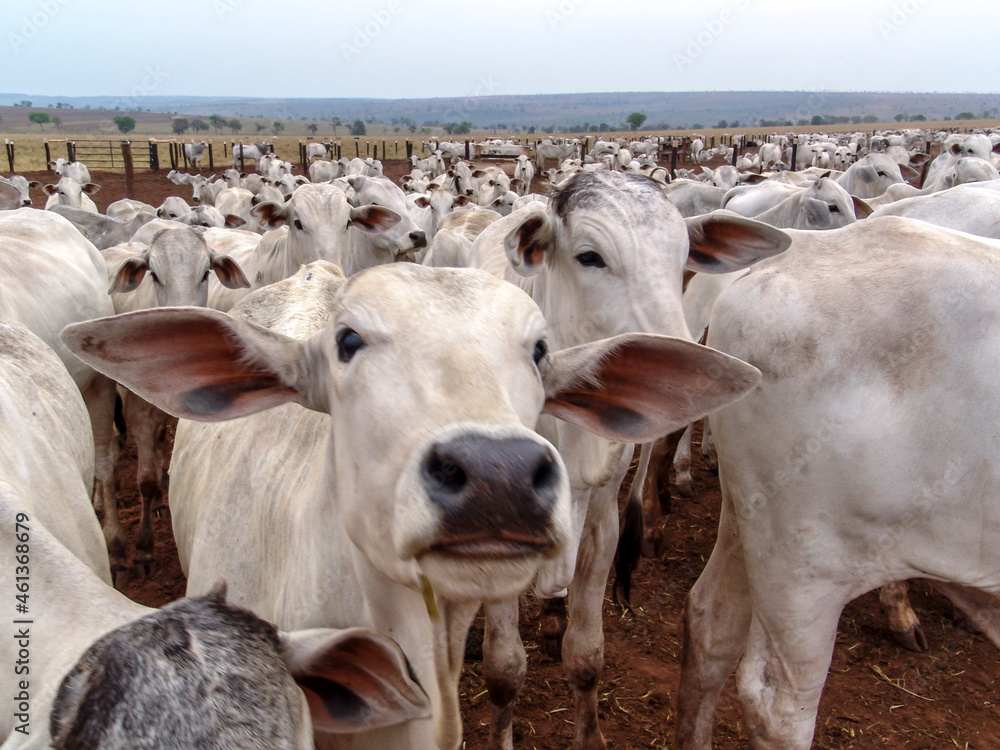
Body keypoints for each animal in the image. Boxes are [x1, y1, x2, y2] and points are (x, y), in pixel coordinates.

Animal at [466, 173, 788, 748]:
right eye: (590, 257)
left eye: (683, 257)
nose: (682, 363)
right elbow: (503, 671)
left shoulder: (603, 525)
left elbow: (587, 656)